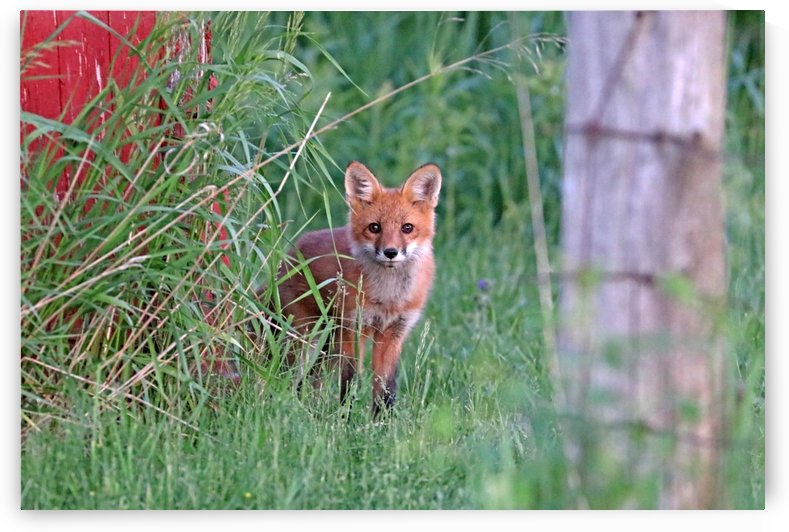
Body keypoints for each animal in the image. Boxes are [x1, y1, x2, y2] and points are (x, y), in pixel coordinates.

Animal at [275, 161, 441, 415]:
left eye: (407, 228)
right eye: (375, 227)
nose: (390, 252)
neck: (388, 297)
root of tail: (292, 252)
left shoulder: (394, 332)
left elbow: (386, 388)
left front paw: (381, 422)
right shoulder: (354, 328)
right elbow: (351, 381)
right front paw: (345, 419)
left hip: (327, 345)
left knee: (311, 380)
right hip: (305, 339)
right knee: (290, 376)